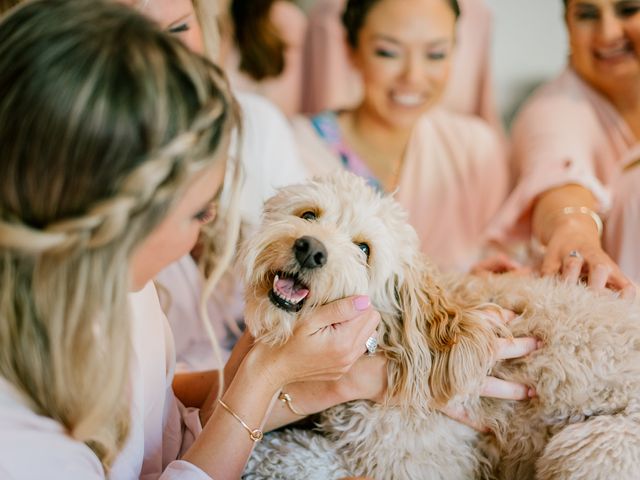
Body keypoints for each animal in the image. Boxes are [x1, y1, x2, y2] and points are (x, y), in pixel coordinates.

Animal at [239, 172, 640, 480]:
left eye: (364, 249)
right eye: (308, 214)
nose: (310, 249)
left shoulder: (413, 461)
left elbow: (299, 454)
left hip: (589, 449)